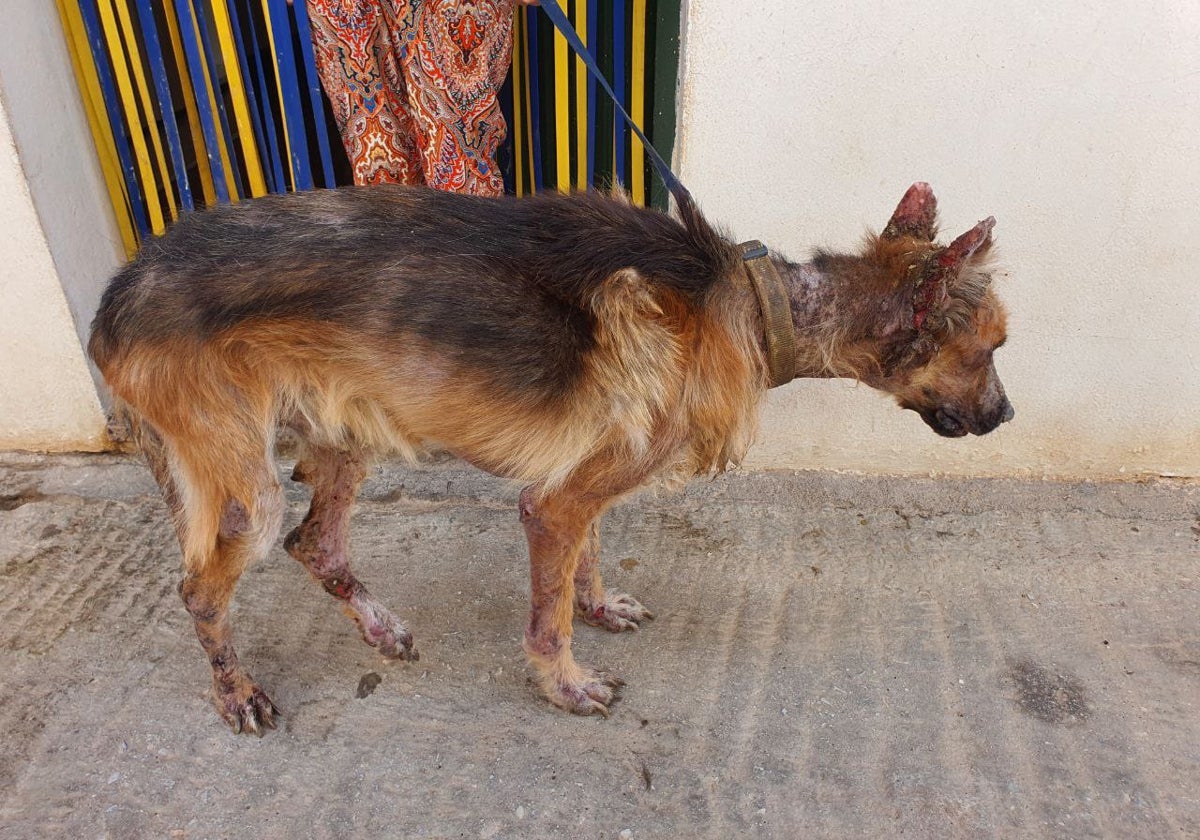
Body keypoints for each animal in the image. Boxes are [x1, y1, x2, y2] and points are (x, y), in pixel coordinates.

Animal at [87, 180, 1012, 729]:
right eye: (993, 347)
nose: (1006, 415)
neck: (757, 305)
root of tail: (118, 296)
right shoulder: (554, 502)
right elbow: (549, 610)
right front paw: (563, 681)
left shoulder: (593, 479)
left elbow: (585, 563)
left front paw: (598, 606)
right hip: (243, 479)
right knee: (205, 587)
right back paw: (235, 690)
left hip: (341, 431)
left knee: (316, 544)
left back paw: (379, 625)